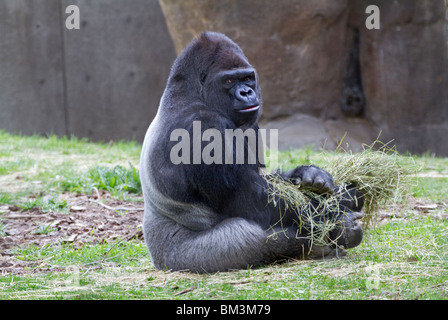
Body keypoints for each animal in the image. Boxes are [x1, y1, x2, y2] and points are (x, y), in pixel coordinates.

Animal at [141, 31, 364, 272]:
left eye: (247, 78)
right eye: (229, 80)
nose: (246, 92)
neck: (191, 95)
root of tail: (157, 258)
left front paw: (311, 175)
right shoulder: (203, 126)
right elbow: (255, 201)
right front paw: (339, 211)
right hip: (186, 258)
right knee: (253, 237)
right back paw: (330, 236)